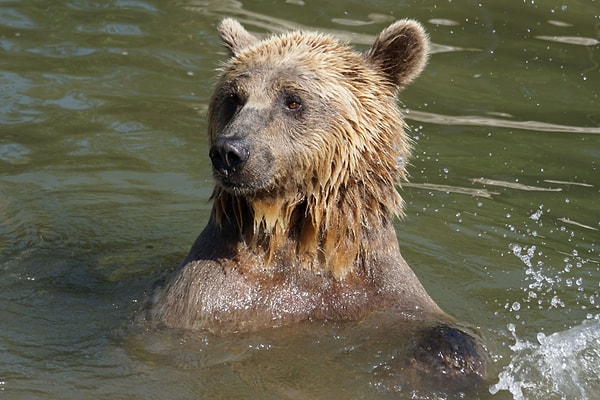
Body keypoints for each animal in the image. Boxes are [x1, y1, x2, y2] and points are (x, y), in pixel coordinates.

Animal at [148, 18, 490, 384]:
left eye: (292, 100)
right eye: (233, 98)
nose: (229, 151)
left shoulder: (377, 290)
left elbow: (438, 328)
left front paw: (450, 360)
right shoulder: (208, 297)